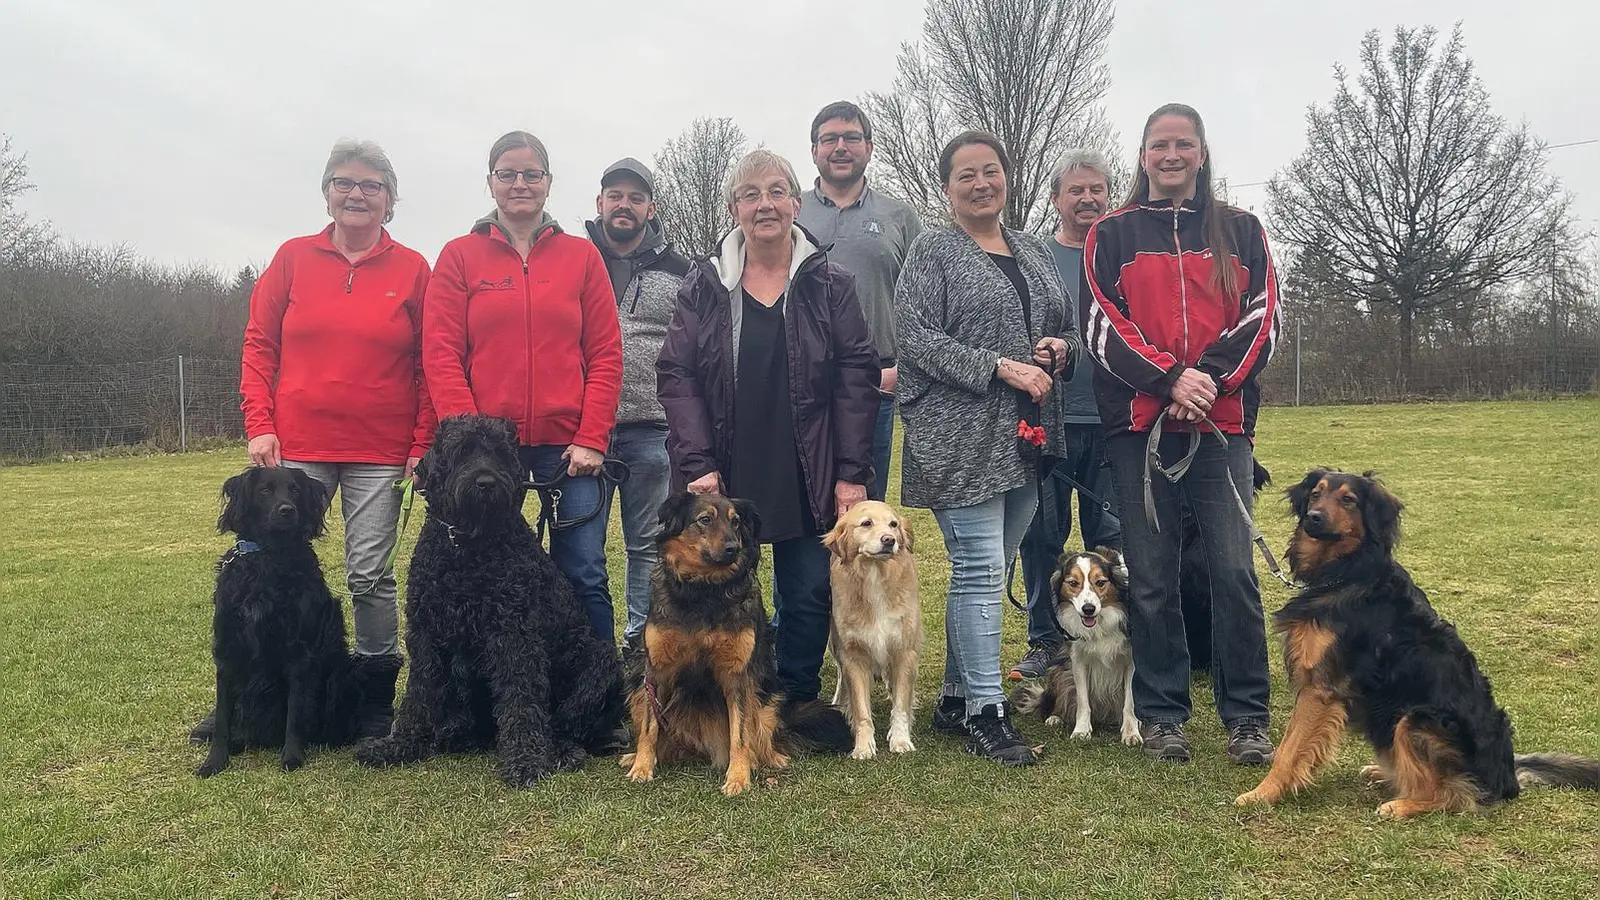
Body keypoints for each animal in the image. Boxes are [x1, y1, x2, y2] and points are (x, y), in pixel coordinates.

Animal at [197, 464, 403, 775]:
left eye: (294, 490)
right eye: (265, 490)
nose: (287, 510)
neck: (270, 559)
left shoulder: (299, 652)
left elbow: (295, 710)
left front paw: (292, 756)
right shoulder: (227, 650)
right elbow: (223, 716)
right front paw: (214, 761)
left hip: (341, 676)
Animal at [356, 413, 624, 784]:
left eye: (499, 453)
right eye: (462, 451)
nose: (485, 482)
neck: (466, 549)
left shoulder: (513, 635)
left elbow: (521, 698)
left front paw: (525, 759)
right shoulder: (426, 634)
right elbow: (420, 692)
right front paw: (402, 743)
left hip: (601, 661)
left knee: (565, 721)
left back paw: (560, 750)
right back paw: (458, 734)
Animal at [617, 490, 857, 791]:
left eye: (736, 522)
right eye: (705, 519)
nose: (733, 548)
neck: (705, 590)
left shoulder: (738, 675)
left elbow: (740, 734)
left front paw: (738, 777)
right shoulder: (656, 671)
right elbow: (650, 728)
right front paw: (642, 767)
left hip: (767, 697)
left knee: (762, 735)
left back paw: (769, 758)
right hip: (637, 684)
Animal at [825, 496, 928, 755]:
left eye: (893, 524)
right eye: (866, 523)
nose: (889, 540)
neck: (875, 576)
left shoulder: (904, 650)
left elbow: (901, 704)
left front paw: (900, 740)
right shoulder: (854, 654)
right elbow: (861, 709)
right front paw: (863, 747)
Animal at [1235, 470, 1600, 813]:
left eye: (1349, 500)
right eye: (1315, 494)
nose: (1313, 517)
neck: (1347, 572)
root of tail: (1508, 778)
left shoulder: (1321, 688)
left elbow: (1289, 749)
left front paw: (1262, 794)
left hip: (1415, 719)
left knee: (1453, 795)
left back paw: (1401, 804)